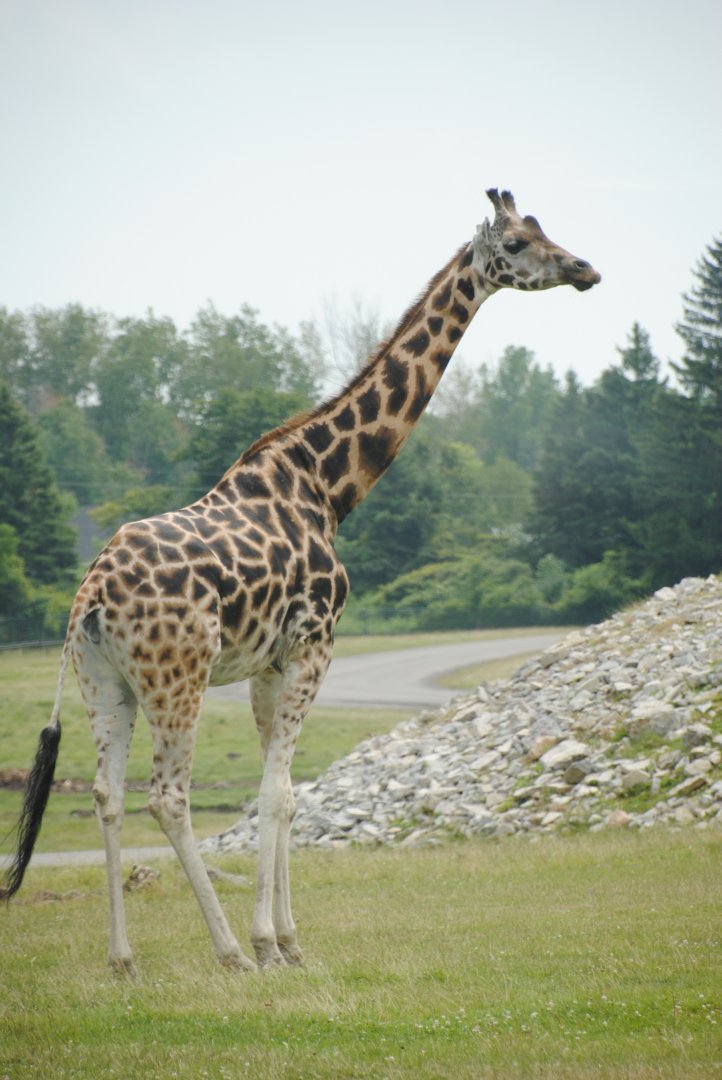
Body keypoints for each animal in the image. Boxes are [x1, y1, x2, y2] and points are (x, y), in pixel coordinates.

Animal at [1, 189, 600, 974]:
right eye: (520, 242)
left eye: (542, 228)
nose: (586, 268)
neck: (329, 486)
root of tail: (88, 597)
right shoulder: (316, 645)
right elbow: (280, 794)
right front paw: (268, 941)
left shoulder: (269, 661)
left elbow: (277, 790)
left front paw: (289, 940)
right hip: (176, 678)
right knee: (167, 797)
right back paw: (229, 951)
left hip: (106, 683)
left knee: (107, 793)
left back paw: (123, 960)